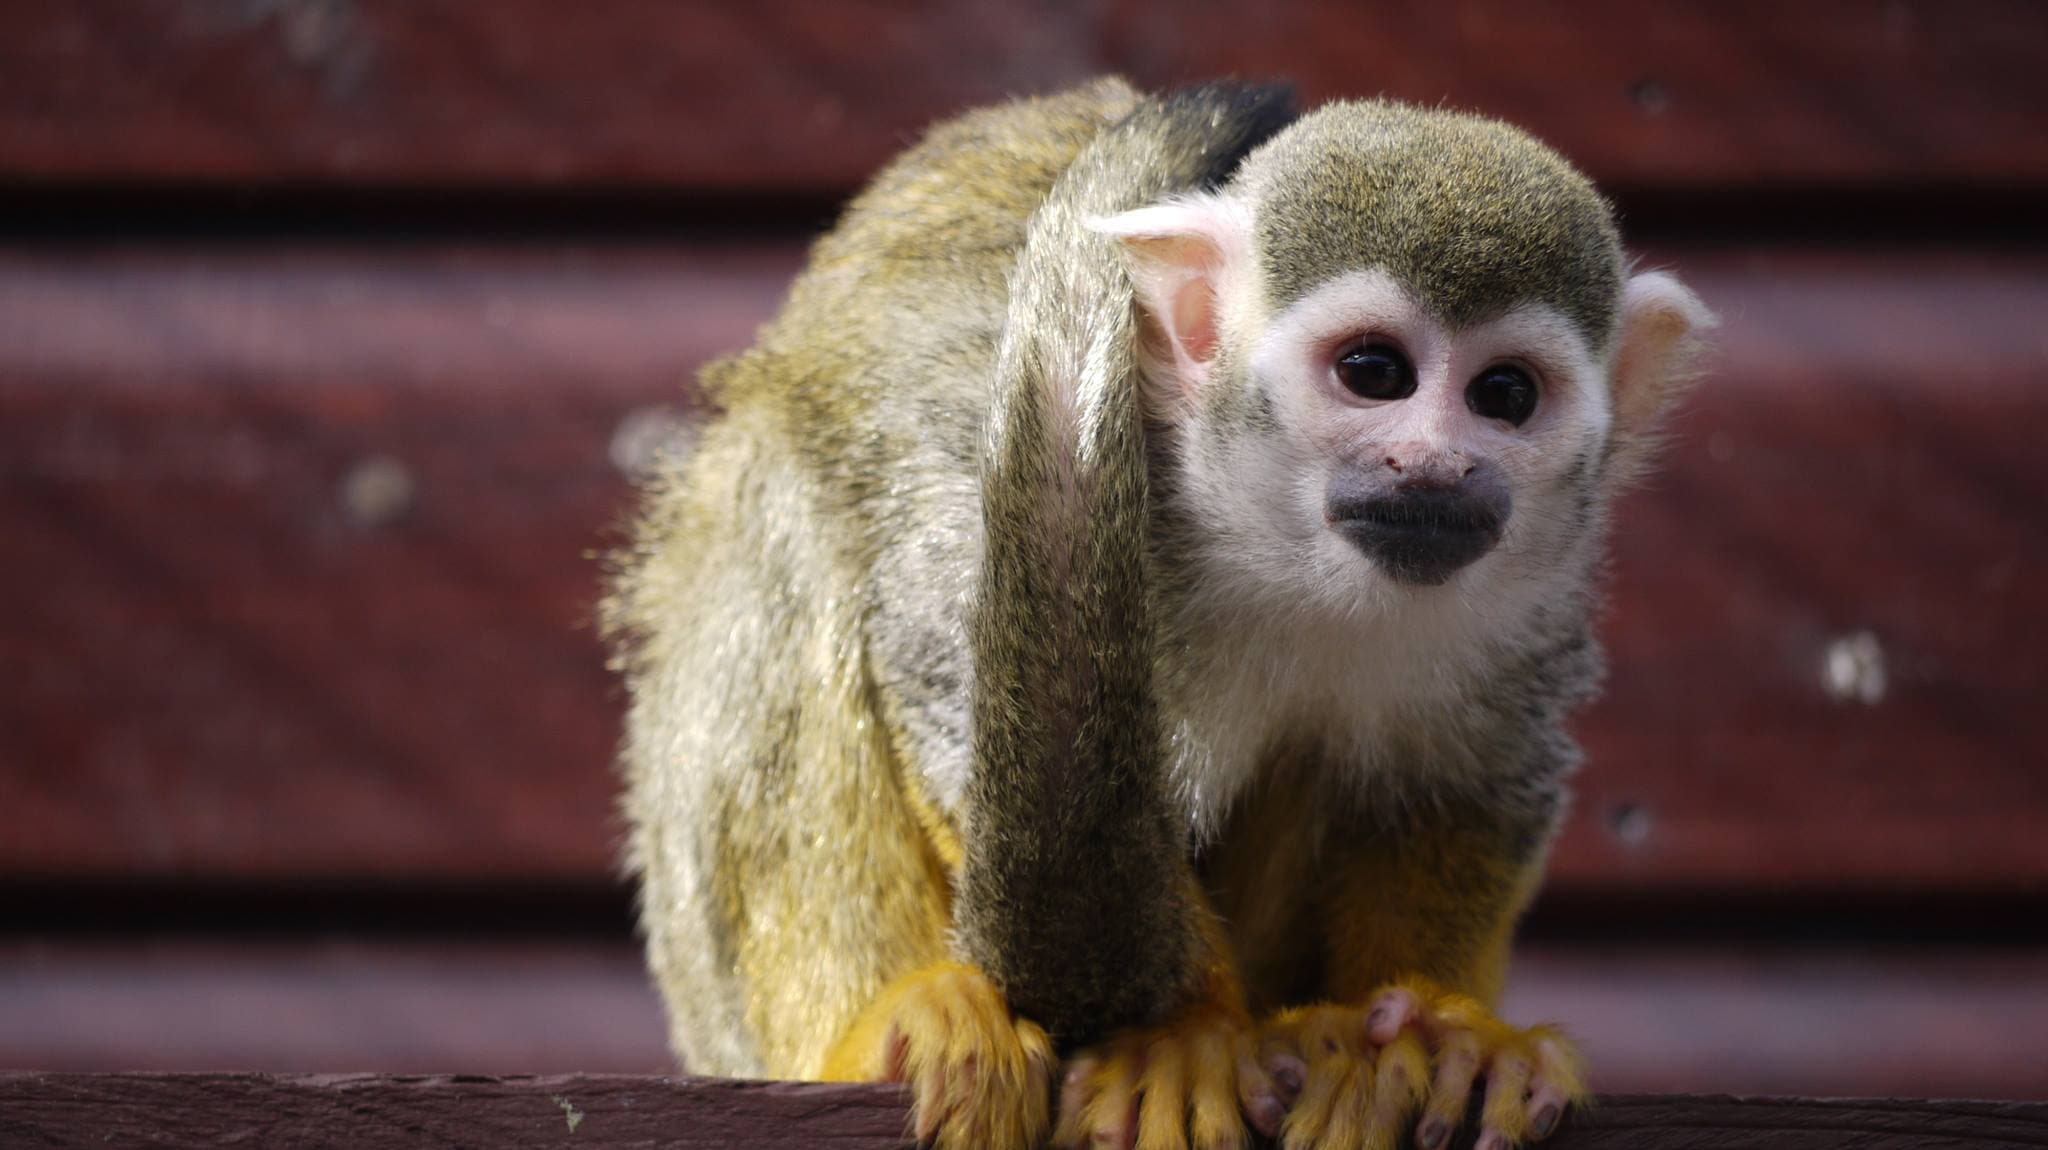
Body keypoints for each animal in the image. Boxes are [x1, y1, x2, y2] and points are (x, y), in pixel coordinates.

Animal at [605, 76, 1712, 1150]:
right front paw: (1182, 1034)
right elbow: (949, 691)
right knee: (787, 509)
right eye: (1373, 374)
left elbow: (1460, 787)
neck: (1268, 531)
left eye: (1505, 395)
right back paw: (875, 1030)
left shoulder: (1539, 582)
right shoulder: (1006, 446)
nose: (1433, 467)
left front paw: (1436, 1029)